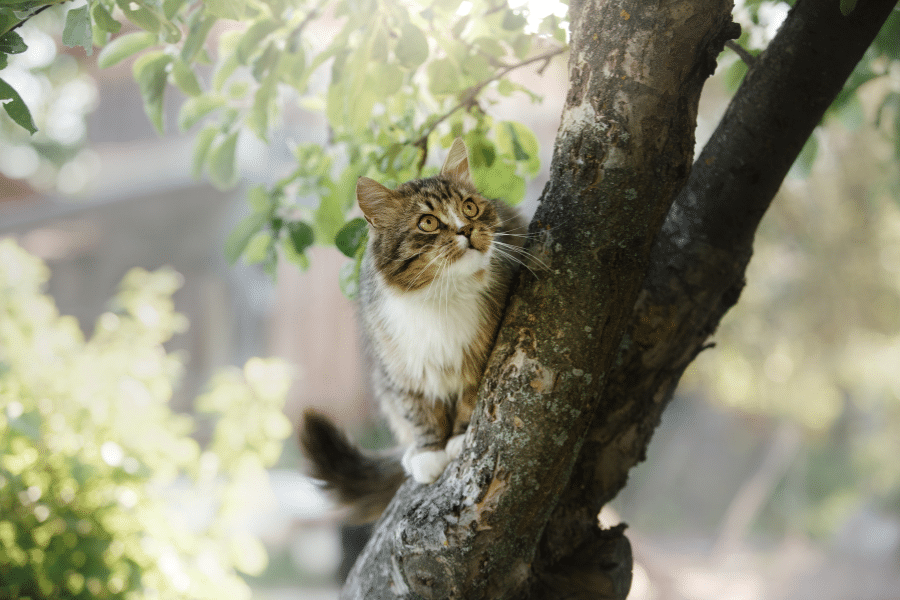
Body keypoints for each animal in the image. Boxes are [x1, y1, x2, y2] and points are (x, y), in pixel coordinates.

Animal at [302, 138, 528, 524]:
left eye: (469, 208)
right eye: (428, 222)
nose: (466, 229)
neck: (441, 295)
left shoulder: (485, 352)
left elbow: (470, 397)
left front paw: (458, 438)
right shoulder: (400, 368)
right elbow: (419, 413)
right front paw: (429, 451)